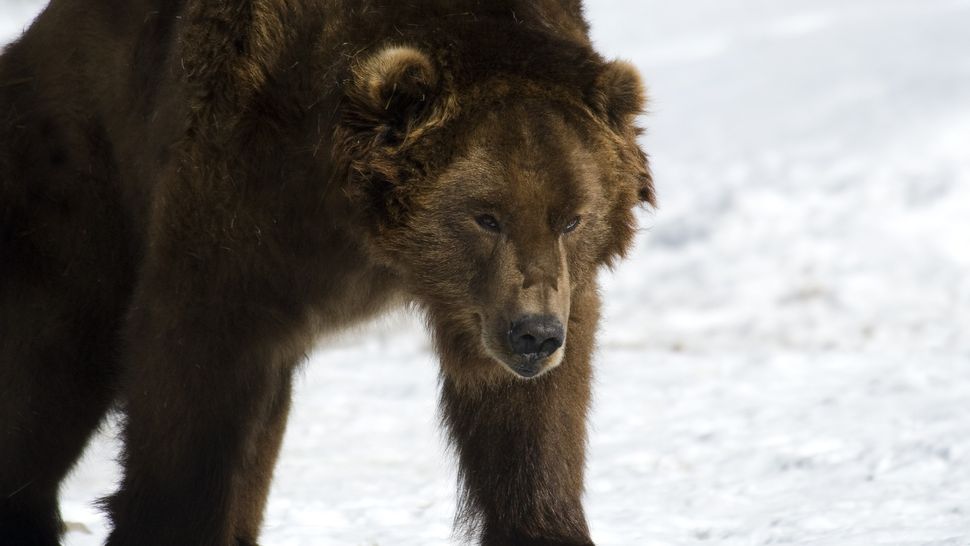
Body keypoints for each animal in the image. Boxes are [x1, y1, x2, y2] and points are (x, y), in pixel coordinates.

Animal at [0, 1, 656, 544]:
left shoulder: (522, 300)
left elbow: (532, 424)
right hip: (80, 182)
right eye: (485, 216)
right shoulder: (242, 197)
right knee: (53, 365)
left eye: (572, 218)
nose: (534, 335)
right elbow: (192, 368)